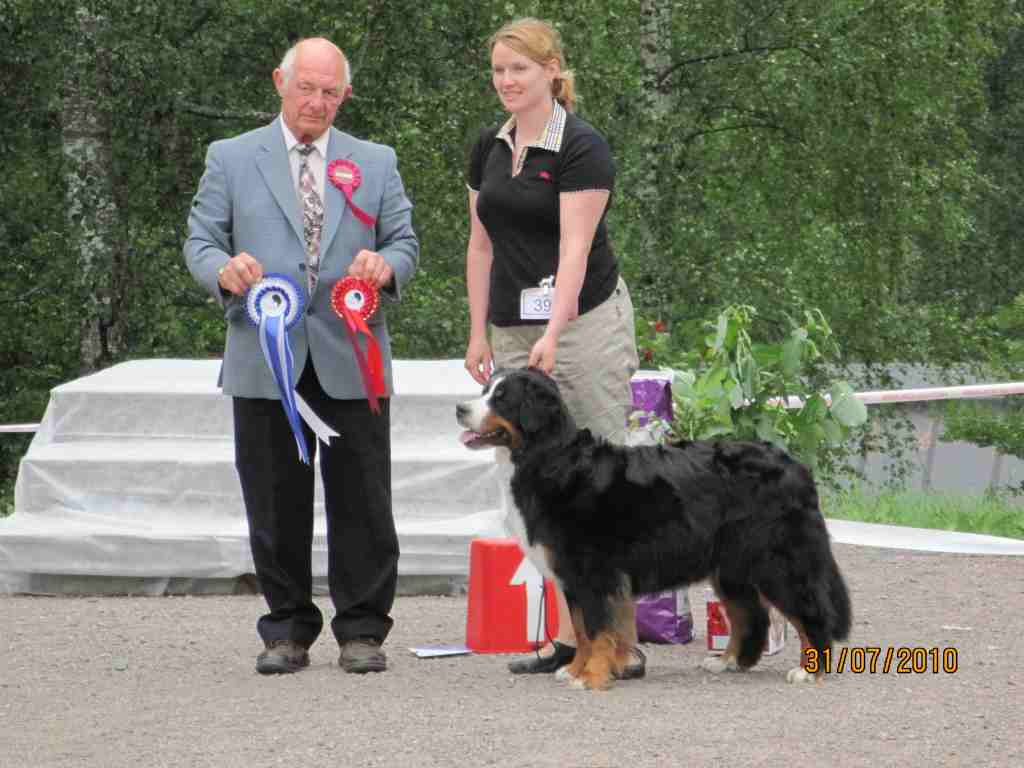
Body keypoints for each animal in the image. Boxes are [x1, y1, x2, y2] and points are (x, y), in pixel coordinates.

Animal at [454, 366, 847, 692]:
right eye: (486, 389)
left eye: (502, 398)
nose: (459, 408)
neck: (550, 460)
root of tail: (795, 466)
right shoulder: (573, 578)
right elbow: (581, 630)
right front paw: (576, 669)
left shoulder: (594, 573)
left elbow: (596, 629)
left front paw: (591, 677)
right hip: (731, 566)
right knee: (751, 616)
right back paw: (729, 661)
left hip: (777, 562)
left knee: (810, 611)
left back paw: (809, 669)